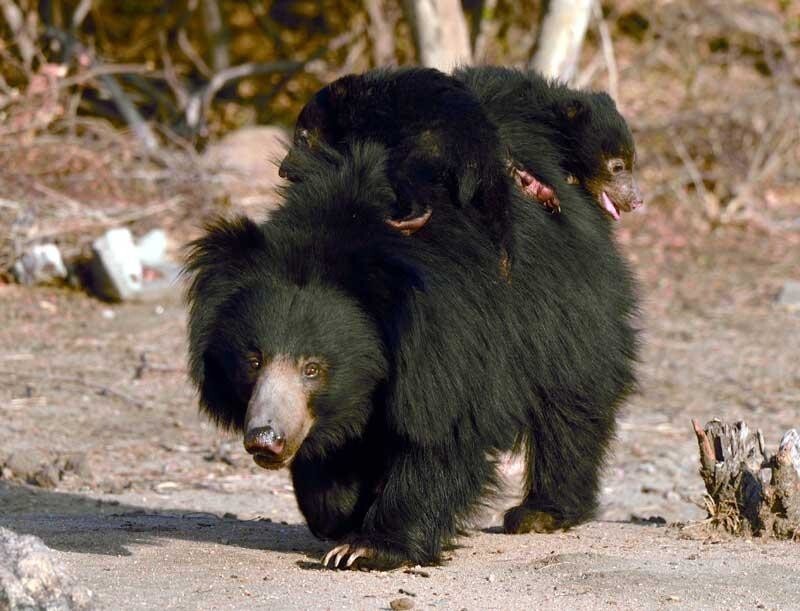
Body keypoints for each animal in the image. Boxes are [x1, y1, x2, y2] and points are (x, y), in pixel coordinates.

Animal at [186, 130, 636, 572]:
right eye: (253, 360)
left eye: (312, 369)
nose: (265, 439)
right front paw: (342, 512)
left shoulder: (451, 337)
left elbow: (443, 432)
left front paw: (366, 548)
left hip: (566, 314)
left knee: (570, 409)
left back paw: (540, 513)